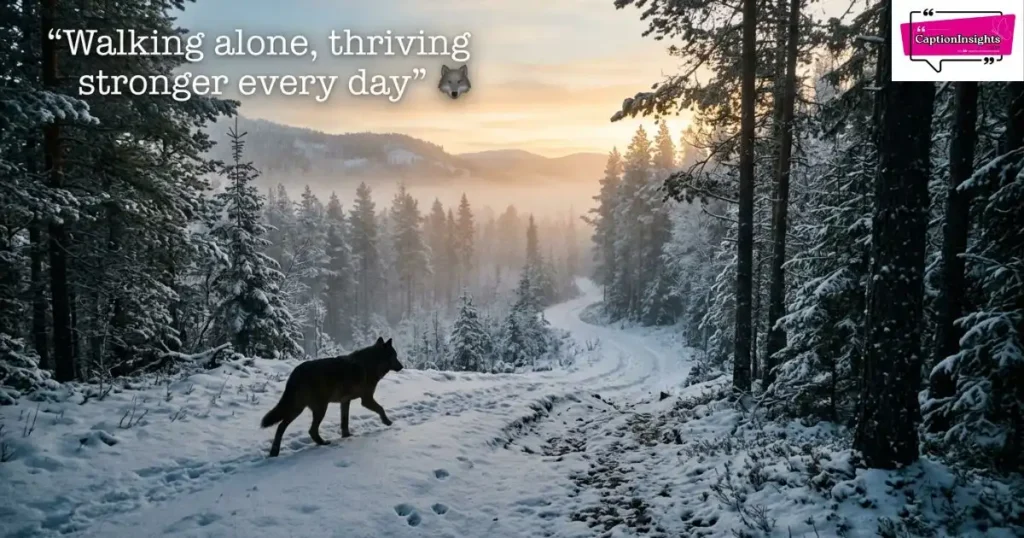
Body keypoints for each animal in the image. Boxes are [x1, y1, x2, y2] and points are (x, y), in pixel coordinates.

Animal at [260, 337, 403, 457]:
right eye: (395, 356)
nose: (402, 366)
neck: (371, 364)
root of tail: (295, 372)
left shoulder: (345, 401)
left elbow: (344, 422)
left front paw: (347, 436)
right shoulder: (366, 400)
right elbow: (381, 409)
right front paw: (388, 422)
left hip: (298, 409)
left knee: (281, 427)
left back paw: (274, 452)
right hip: (319, 408)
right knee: (310, 430)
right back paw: (322, 443)